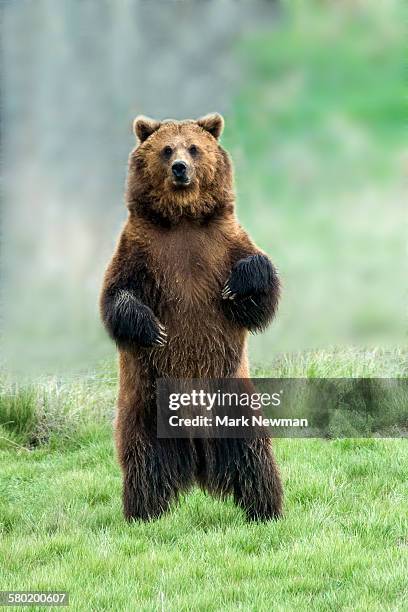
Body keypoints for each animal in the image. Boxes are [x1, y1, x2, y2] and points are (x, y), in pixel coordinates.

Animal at [100, 113, 282, 520]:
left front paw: (240, 284)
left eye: (194, 148)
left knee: (253, 457)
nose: (180, 168)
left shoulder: (225, 242)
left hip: (234, 403)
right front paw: (152, 329)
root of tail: (197, 457)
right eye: (167, 149)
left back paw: (265, 510)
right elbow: (116, 297)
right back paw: (143, 514)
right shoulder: (138, 249)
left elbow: (261, 292)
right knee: (144, 463)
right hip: (146, 406)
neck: (182, 219)